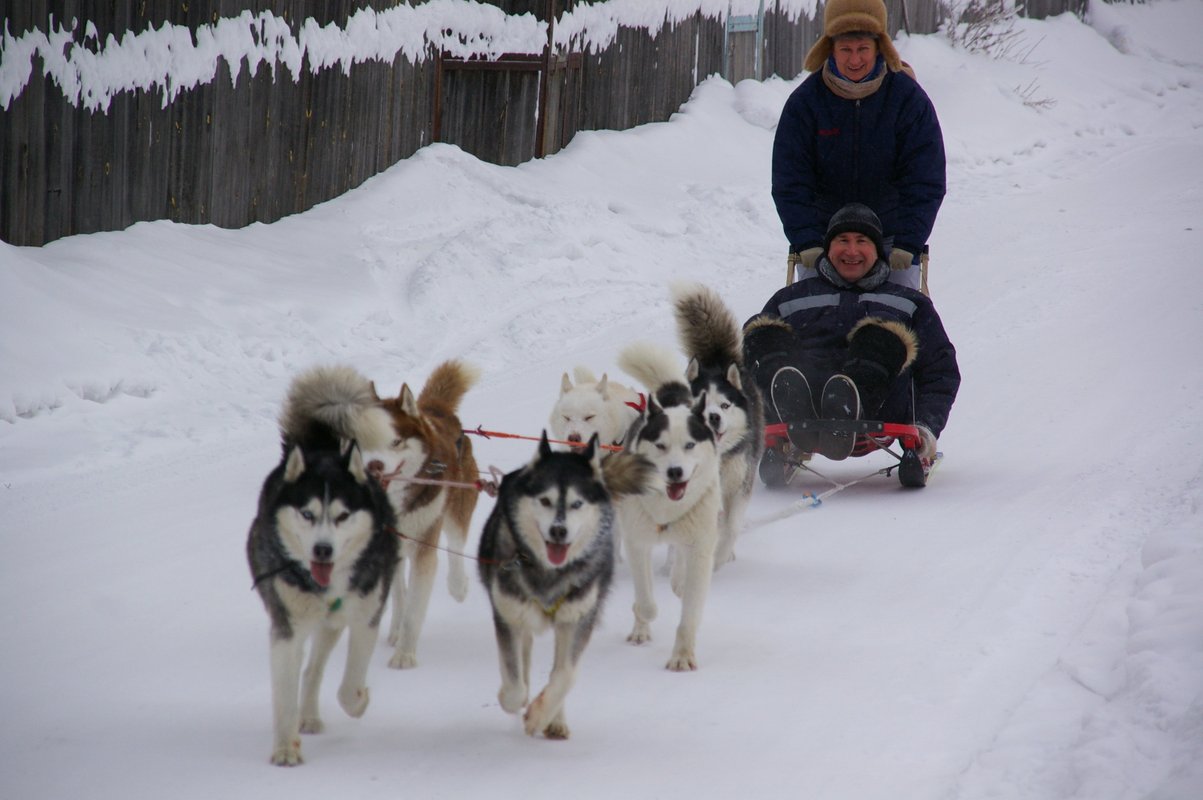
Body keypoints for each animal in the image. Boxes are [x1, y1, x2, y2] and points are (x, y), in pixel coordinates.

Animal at [247, 365, 399, 765]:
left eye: (343, 515)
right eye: (307, 513)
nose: (322, 550)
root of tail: (322, 448)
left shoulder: (365, 617)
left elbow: (349, 686)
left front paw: (360, 700)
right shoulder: (286, 627)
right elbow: (284, 693)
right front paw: (285, 748)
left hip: (333, 623)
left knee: (314, 668)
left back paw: (313, 714)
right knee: (308, 669)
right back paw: (307, 716)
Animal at [365, 360, 478, 668]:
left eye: (395, 442)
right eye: (365, 440)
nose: (374, 466)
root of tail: (434, 409)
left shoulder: (425, 546)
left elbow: (415, 609)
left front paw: (405, 654)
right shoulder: (386, 545)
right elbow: (400, 595)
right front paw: (397, 629)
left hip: (456, 508)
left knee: (456, 544)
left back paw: (458, 585)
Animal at [476, 433, 654, 741]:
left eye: (577, 504)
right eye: (545, 500)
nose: (558, 530)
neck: (550, 572)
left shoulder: (577, 619)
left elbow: (565, 676)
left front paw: (539, 717)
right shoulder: (509, 616)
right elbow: (515, 682)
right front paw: (513, 700)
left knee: (557, 671)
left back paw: (555, 720)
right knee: (525, 661)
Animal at [615, 339, 716, 668]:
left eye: (690, 445)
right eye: (660, 445)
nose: (675, 472)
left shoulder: (701, 548)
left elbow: (690, 613)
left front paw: (682, 656)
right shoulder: (637, 542)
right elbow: (646, 602)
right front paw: (642, 616)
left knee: (679, 558)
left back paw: (678, 580)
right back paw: (640, 628)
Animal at [673, 282, 765, 567]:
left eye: (724, 405)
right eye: (699, 402)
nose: (712, 417)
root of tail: (716, 360)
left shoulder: (739, 485)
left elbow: (731, 526)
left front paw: (721, 556)